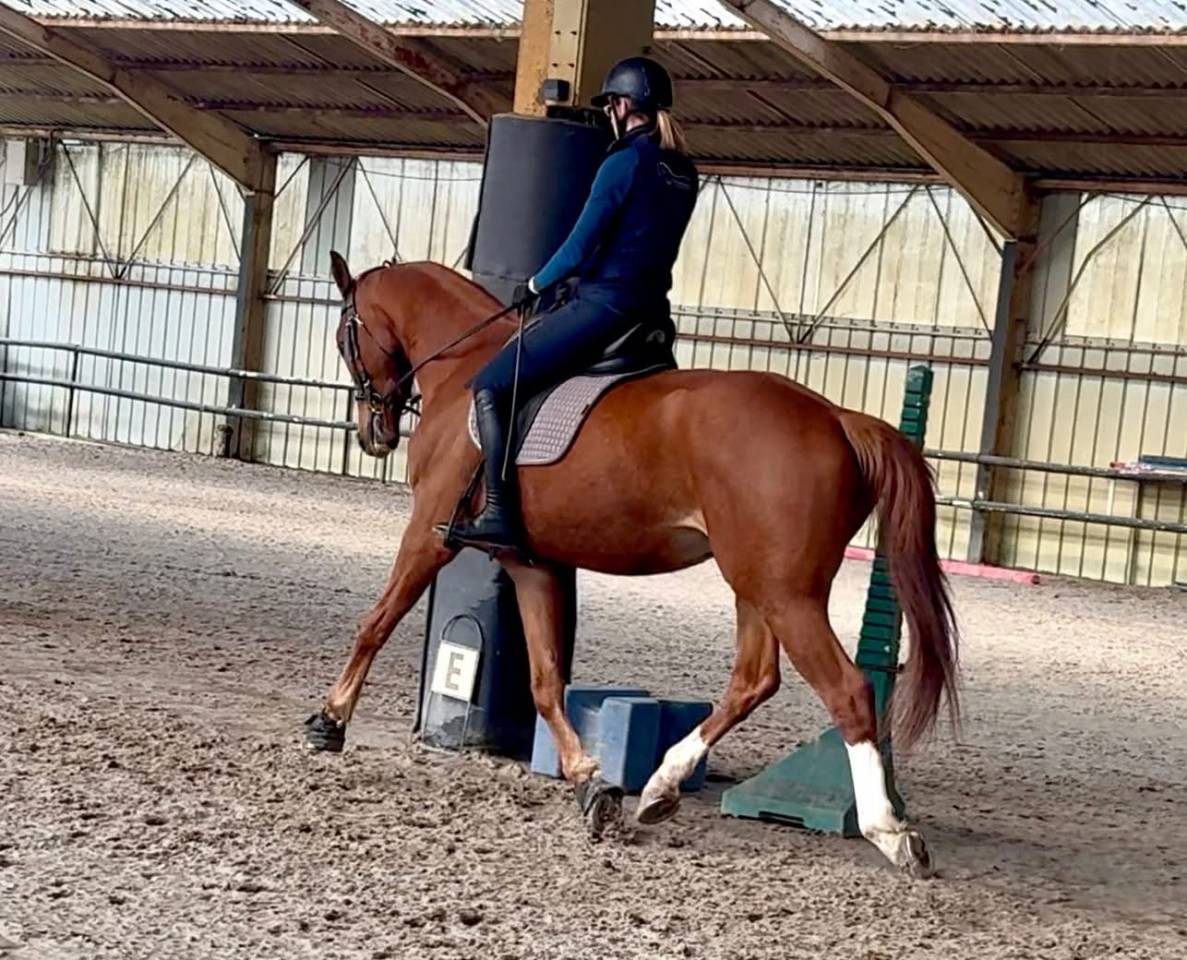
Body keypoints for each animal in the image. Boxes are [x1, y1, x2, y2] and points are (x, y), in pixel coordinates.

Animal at [305, 253, 958, 876]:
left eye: (342, 336)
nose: (374, 434)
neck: (466, 364)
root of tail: (836, 418)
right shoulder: (528, 562)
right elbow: (546, 682)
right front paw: (591, 784)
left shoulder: (429, 535)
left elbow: (377, 622)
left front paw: (328, 722)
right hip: (757, 586)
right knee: (753, 680)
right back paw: (662, 787)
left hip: (785, 594)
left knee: (846, 691)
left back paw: (889, 831)